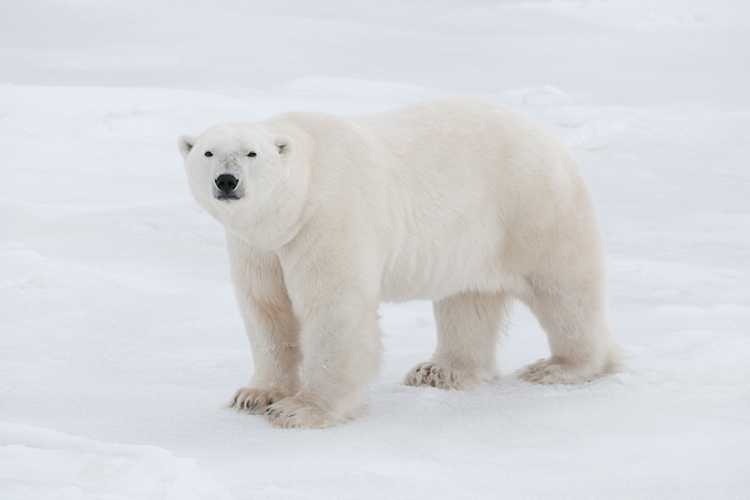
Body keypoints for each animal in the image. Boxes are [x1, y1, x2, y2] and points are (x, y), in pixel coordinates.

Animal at [178, 96, 620, 429]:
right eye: (208, 151)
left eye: (251, 153)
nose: (227, 181)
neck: (298, 201)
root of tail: (546, 135)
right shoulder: (258, 247)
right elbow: (266, 309)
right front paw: (254, 395)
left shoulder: (330, 217)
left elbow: (333, 308)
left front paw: (301, 410)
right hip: (472, 237)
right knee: (467, 299)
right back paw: (442, 370)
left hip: (531, 206)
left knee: (564, 289)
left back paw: (560, 367)